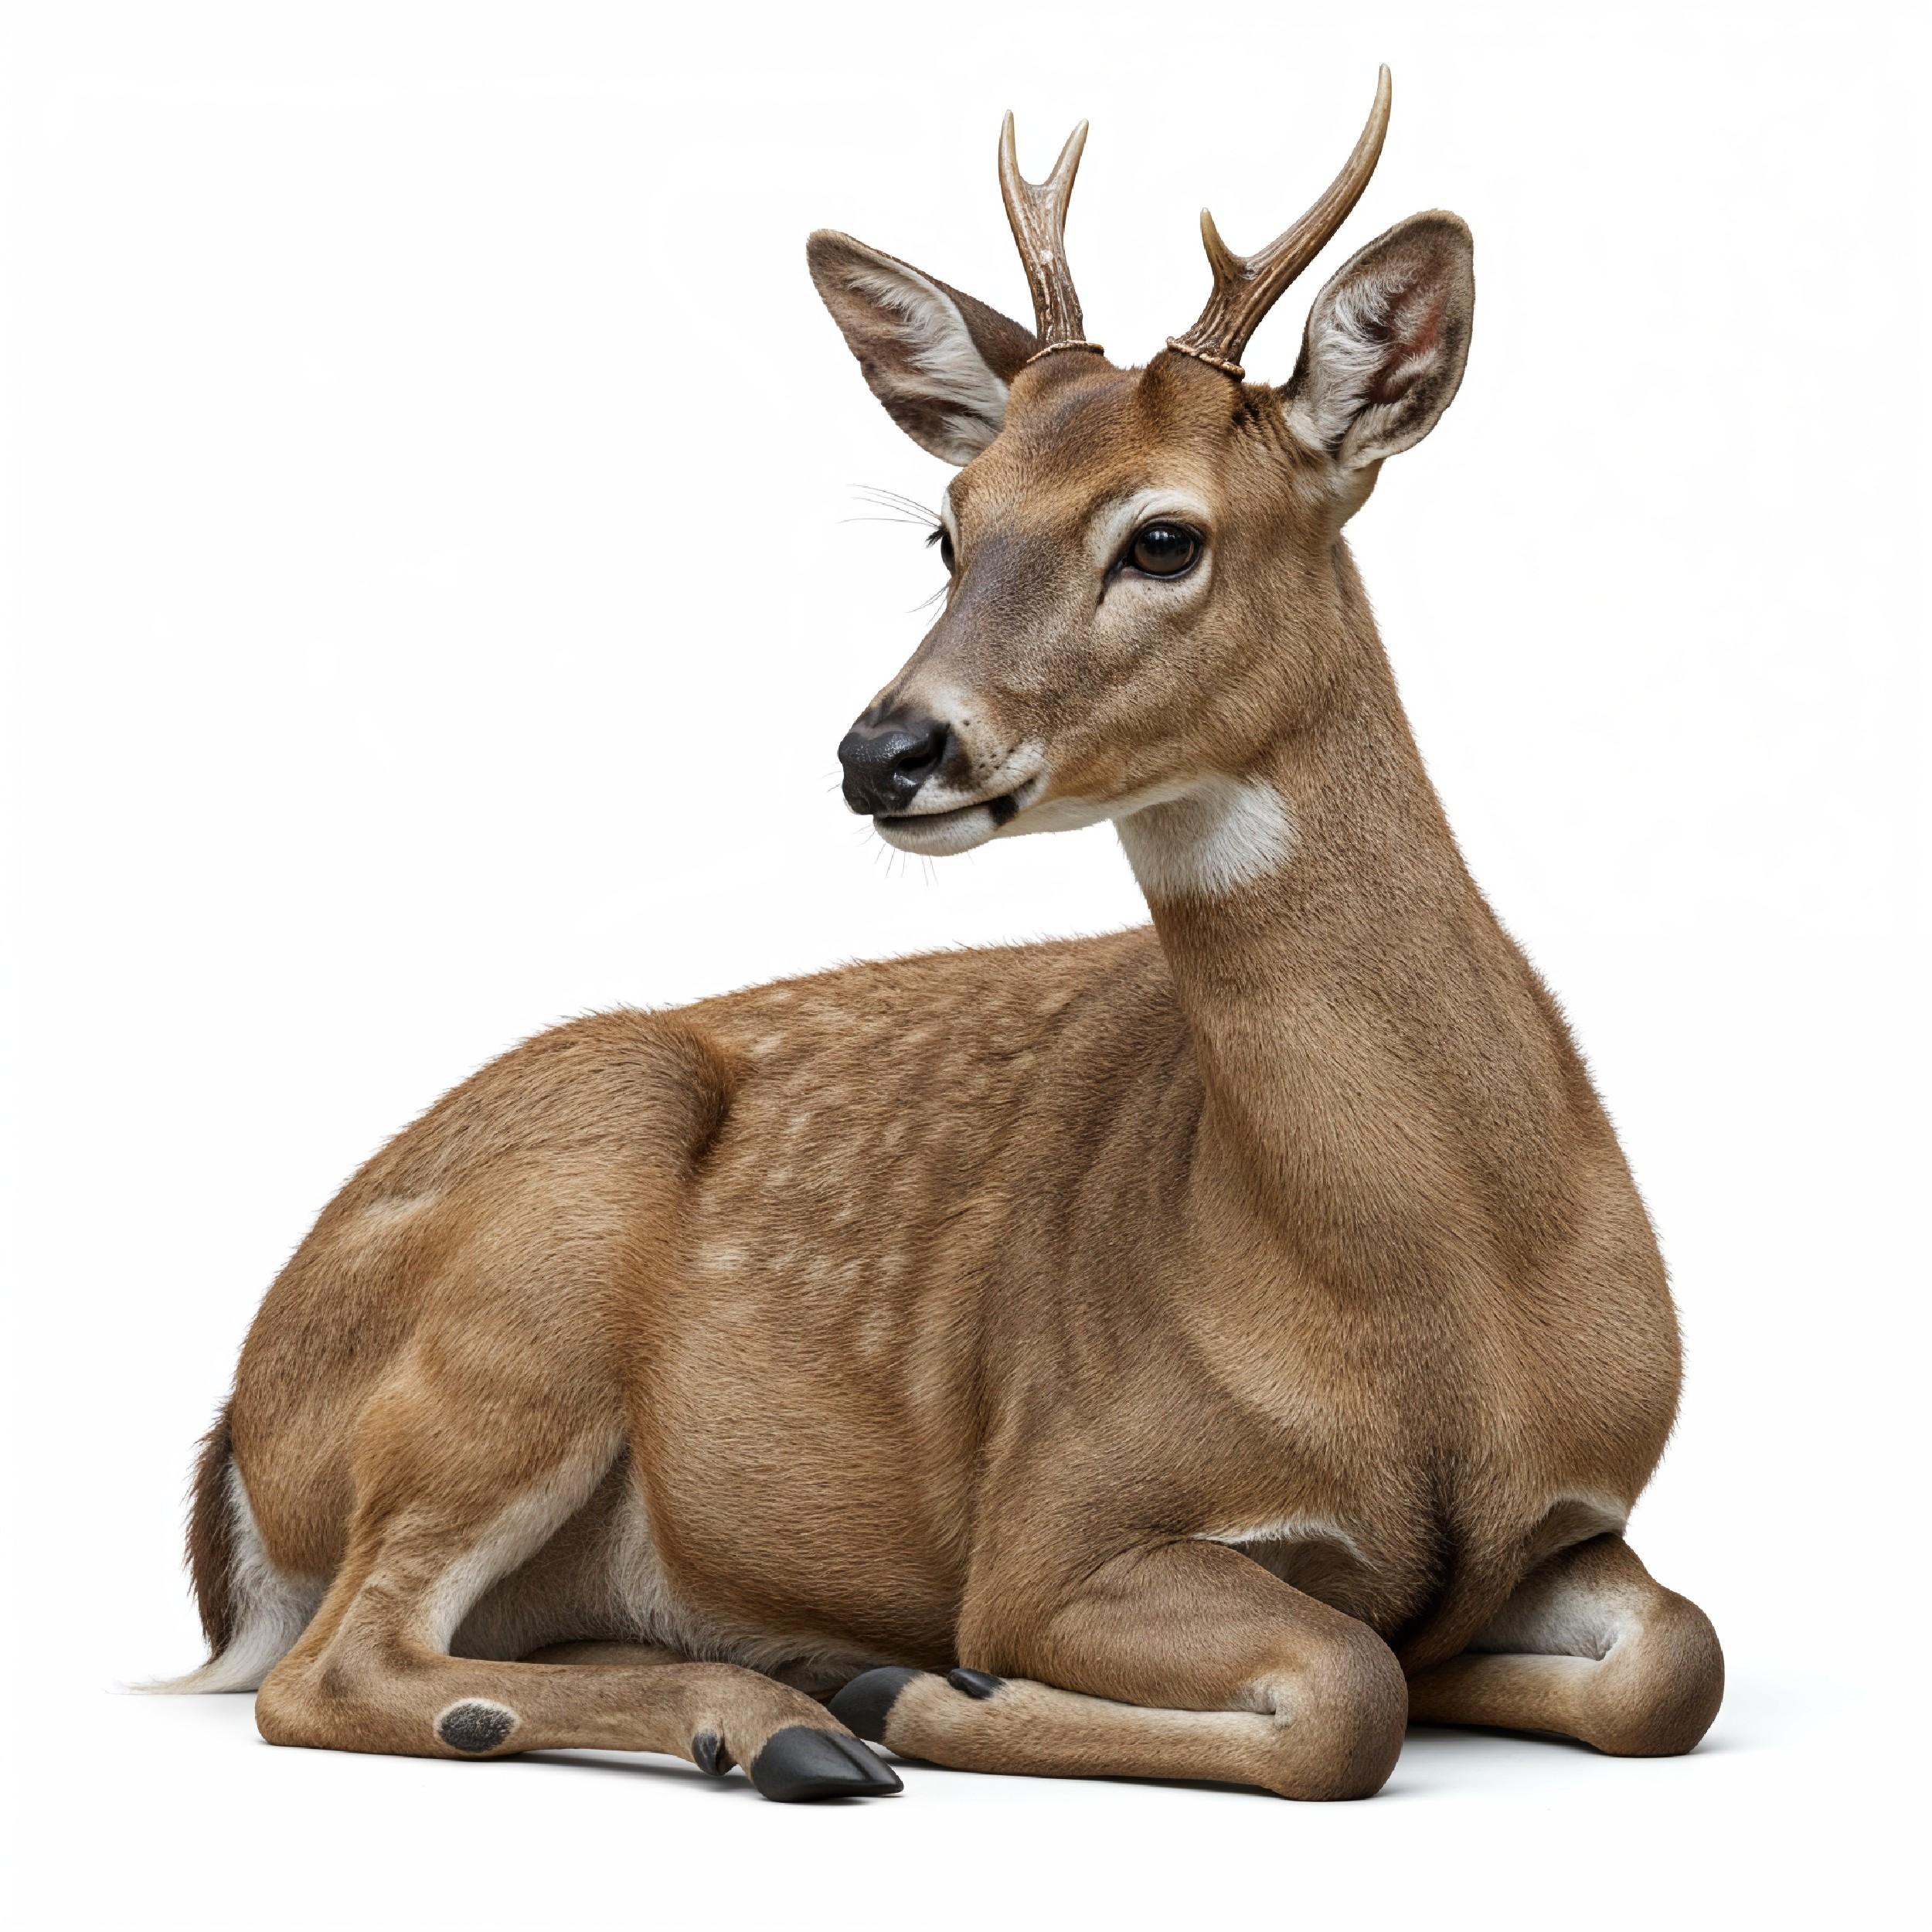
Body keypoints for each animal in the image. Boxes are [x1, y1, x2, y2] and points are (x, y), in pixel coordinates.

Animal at [155, 69, 1723, 1803]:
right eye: (948, 530)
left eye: (1162, 536)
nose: (883, 750)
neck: (1443, 1297)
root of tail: (235, 1453)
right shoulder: (1053, 1510)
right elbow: (1345, 1686)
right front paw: (923, 1683)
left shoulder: (1576, 1513)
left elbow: (1667, 1661)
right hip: (521, 1287)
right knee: (333, 1666)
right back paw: (795, 1719)